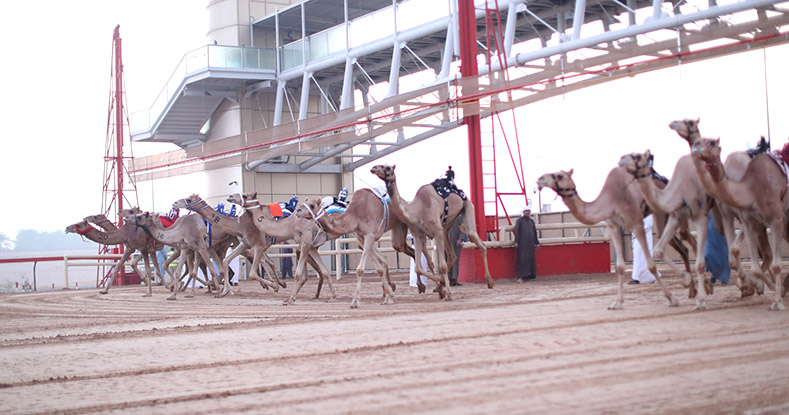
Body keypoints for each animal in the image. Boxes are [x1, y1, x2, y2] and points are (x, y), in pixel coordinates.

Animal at [370, 164, 492, 300]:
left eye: (387, 168)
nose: (373, 168)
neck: (417, 210)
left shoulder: (436, 232)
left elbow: (441, 266)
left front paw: (448, 293)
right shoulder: (418, 234)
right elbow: (418, 267)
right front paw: (439, 287)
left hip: (466, 206)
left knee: (477, 240)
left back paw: (489, 281)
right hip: (446, 226)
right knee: (452, 254)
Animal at [536, 167, 684, 310]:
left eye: (560, 175)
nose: (540, 179)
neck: (612, 198)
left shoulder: (636, 224)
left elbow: (651, 265)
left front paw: (671, 299)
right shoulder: (613, 225)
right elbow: (620, 266)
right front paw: (618, 303)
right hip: (661, 215)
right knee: (677, 245)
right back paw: (685, 278)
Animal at [688, 138, 780, 310]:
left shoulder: (748, 219)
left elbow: (736, 250)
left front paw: (755, 286)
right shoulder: (729, 217)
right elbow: (733, 256)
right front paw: (748, 286)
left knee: (766, 254)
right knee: (765, 254)